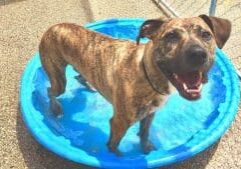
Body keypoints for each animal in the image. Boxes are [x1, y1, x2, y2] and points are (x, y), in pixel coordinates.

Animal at [39, 15, 232, 155]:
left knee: (79, 77)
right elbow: (114, 145)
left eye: (206, 35)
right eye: (171, 36)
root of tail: (53, 27)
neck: (147, 74)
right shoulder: (119, 123)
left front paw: (145, 147)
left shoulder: (150, 114)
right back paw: (55, 108)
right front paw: (117, 155)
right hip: (59, 80)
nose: (198, 54)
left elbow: (145, 133)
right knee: (50, 90)